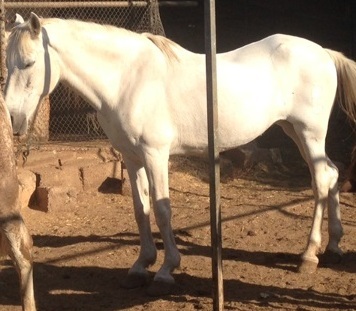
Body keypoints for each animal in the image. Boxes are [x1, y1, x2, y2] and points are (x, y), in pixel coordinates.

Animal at [4, 13, 356, 296]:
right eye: (7, 64)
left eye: (29, 63)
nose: (12, 119)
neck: (128, 81)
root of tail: (323, 53)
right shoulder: (131, 157)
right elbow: (141, 210)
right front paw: (140, 266)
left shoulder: (156, 155)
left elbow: (162, 211)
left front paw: (165, 270)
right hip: (293, 130)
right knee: (332, 174)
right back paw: (334, 246)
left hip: (309, 132)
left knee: (320, 180)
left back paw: (308, 255)